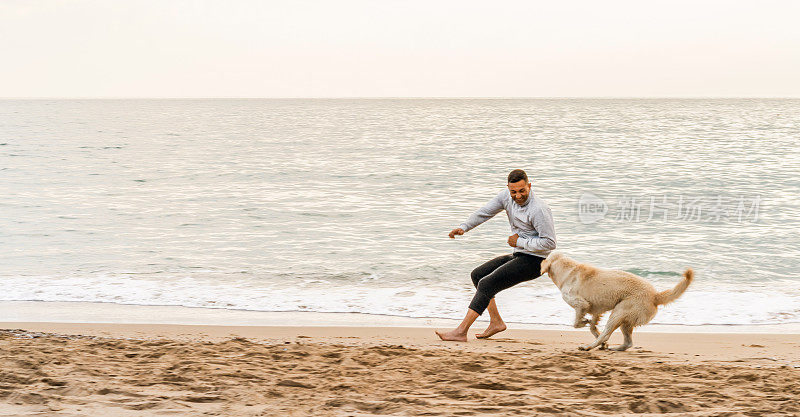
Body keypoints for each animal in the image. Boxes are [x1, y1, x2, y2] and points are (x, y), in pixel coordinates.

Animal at [544, 250, 692, 352]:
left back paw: (588, 347)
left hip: (618, 313)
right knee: (628, 342)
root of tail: (655, 295)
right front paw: (591, 327)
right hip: (625, 321)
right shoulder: (597, 310)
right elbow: (592, 326)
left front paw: (584, 322)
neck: (568, 270)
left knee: (606, 335)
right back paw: (613, 348)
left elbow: (576, 323)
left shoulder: (581, 304)